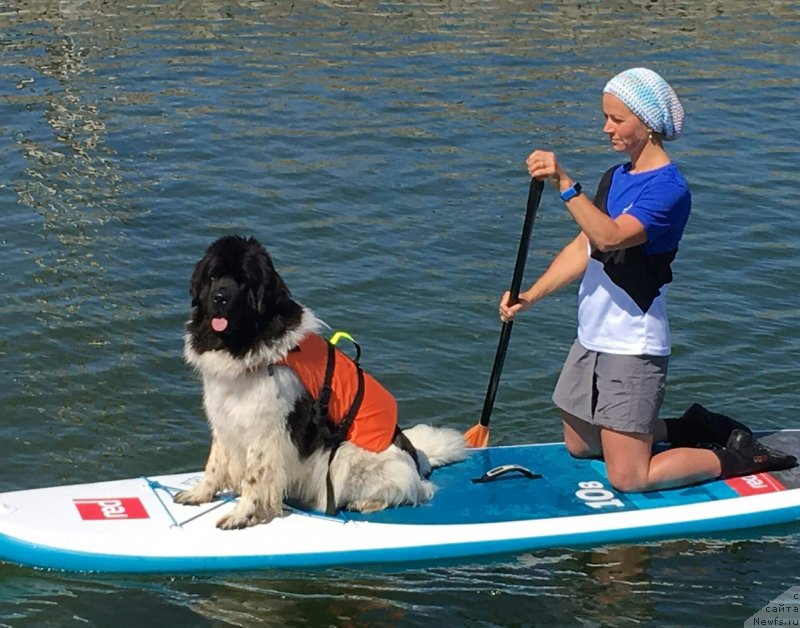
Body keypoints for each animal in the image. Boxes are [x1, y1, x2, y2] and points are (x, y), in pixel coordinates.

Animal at [172, 236, 466, 528]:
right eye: (213, 276)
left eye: (243, 281)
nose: (219, 298)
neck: (243, 341)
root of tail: (417, 458)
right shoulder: (224, 416)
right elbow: (215, 462)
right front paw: (201, 493)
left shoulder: (265, 430)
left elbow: (255, 478)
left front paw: (242, 514)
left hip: (346, 456)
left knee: (413, 489)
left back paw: (367, 503)